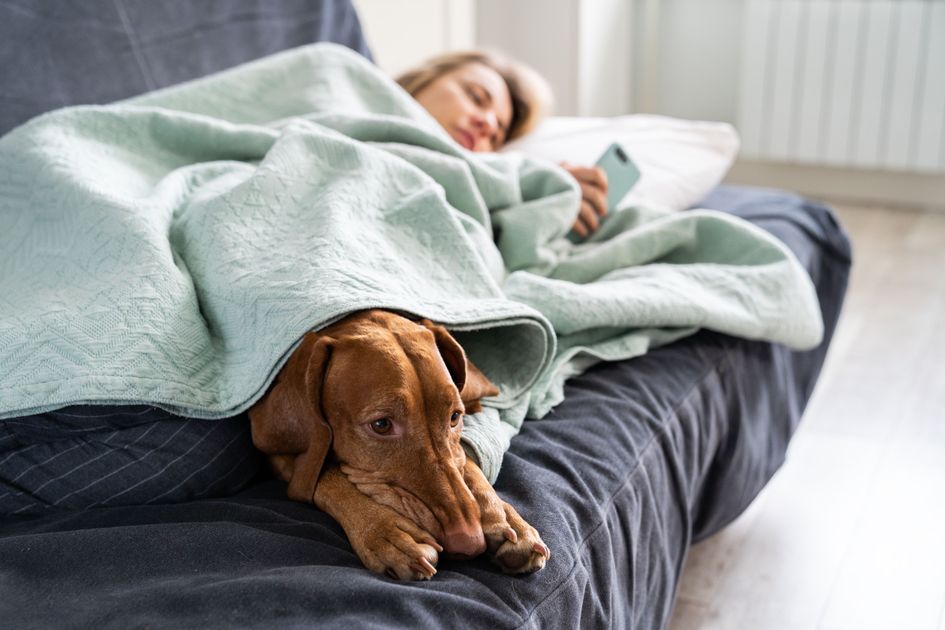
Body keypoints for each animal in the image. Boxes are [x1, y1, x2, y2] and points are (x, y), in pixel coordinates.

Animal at [247, 312, 548, 584]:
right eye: (381, 424)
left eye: (454, 416)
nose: (469, 542)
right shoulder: (280, 455)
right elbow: (327, 475)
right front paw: (388, 533)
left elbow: (466, 463)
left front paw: (503, 517)